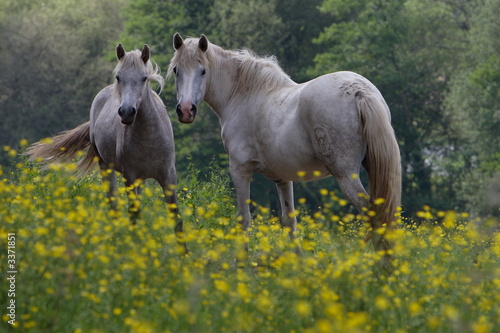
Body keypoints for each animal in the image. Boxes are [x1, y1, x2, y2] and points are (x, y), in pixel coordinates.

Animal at [170, 33, 400, 254]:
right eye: (176, 71)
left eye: (203, 71)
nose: (186, 110)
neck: (244, 95)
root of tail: (359, 91)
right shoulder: (282, 177)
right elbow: (289, 221)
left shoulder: (239, 170)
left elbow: (244, 219)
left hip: (345, 174)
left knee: (373, 215)